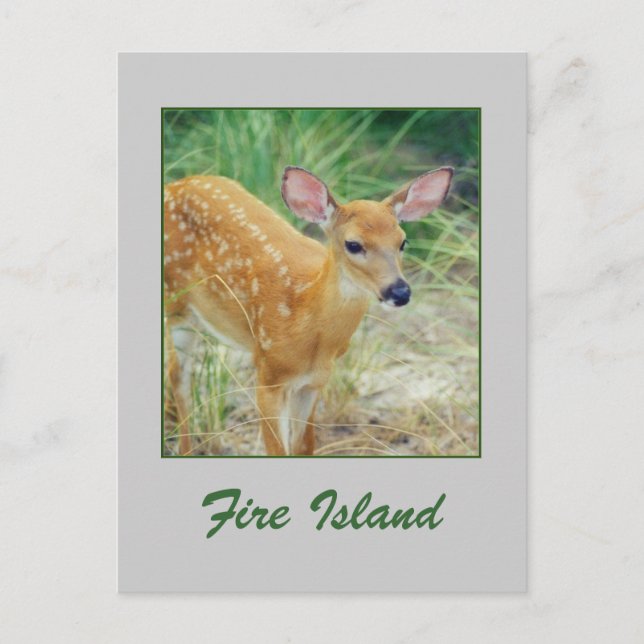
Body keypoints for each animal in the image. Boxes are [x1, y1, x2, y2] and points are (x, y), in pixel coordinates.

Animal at [164, 165, 453, 456]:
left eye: (403, 242)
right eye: (353, 244)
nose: (400, 291)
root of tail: (175, 185)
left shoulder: (313, 382)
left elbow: (303, 446)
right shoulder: (268, 371)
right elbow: (277, 450)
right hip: (175, 305)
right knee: (180, 377)